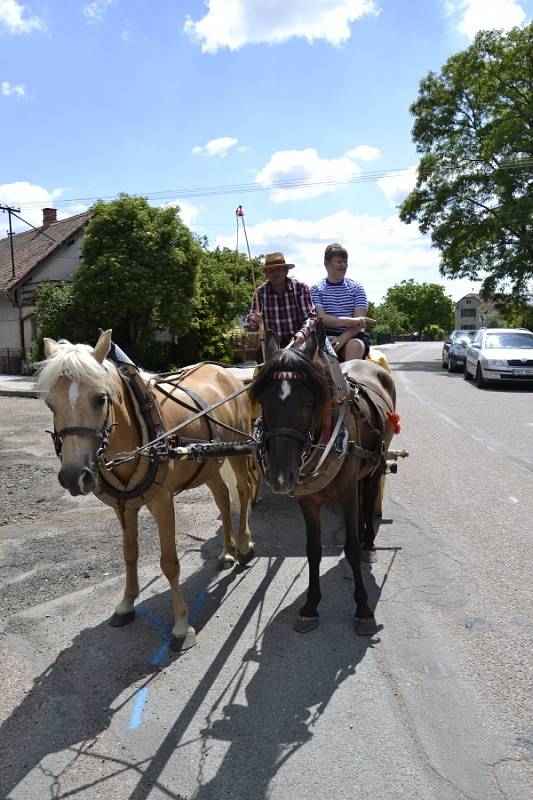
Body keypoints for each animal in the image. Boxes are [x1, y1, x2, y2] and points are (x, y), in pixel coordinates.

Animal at [38, 332, 254, 648]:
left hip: (240, 452)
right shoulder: (124, 507)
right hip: (209, 463)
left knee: (244, 490)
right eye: (50, 404)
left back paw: (245, 545)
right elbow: (130, 553)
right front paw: (126, 604)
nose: (73, 477)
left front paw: (181, 625)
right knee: (224, 500)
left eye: (100, 399)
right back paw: (227, 551)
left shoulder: (162, 503)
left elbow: (170, 563)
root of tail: (224, 372)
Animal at [250, 328, 394, 636]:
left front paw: (363, 609)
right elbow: (313, 550)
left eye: (308, 402)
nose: (280, 478)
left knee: (369, 498)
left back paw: (368, 543)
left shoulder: (347, 495)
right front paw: (310, 606)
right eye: (264, 403)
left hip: (377, 462)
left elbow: (350, 548)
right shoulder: (308, 501)